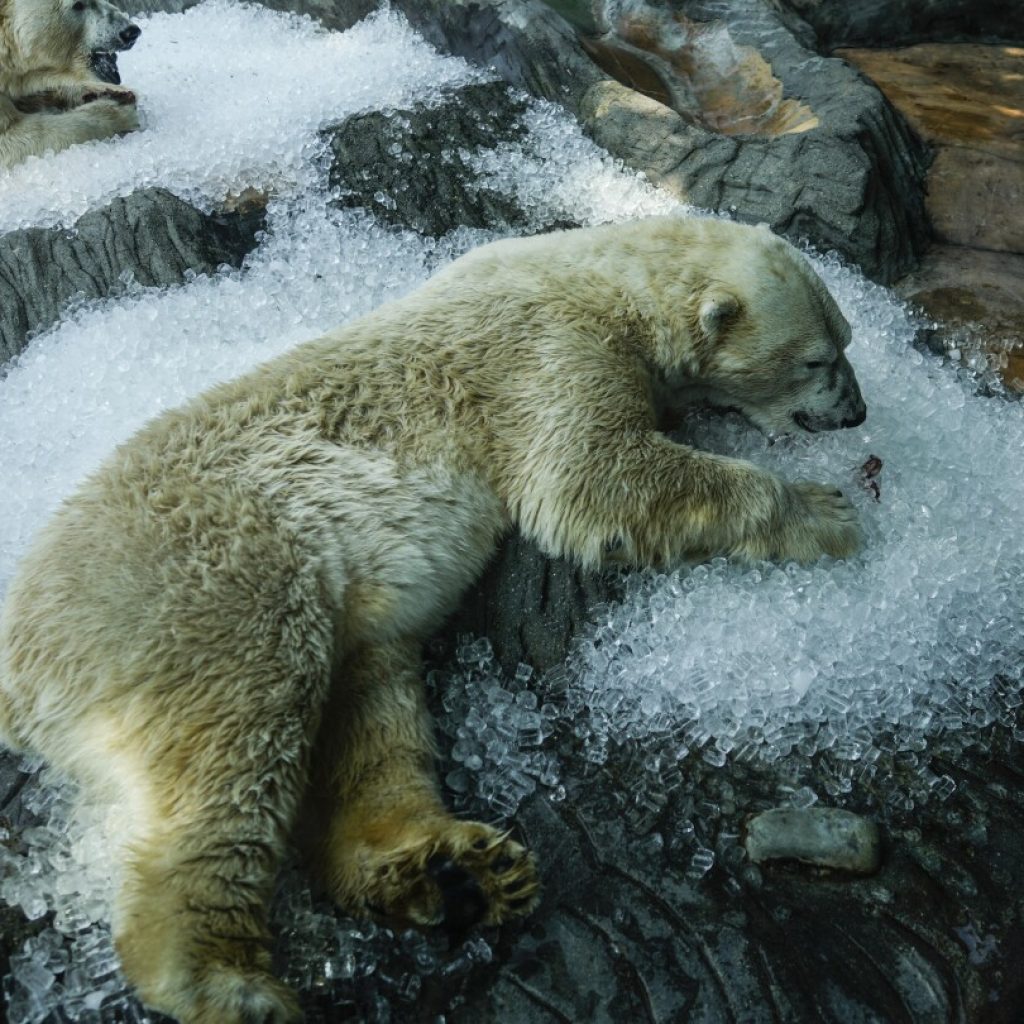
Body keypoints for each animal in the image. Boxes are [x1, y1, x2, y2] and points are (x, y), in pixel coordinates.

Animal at [0, 211, 864, 1019]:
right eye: (819, 359)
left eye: (847, 340)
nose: (855, 413)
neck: (597, 275)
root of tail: (19, 654)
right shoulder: (549, 352)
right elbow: (591, 479)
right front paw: (821, 511)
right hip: (202, 588)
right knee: (235, 742)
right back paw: (226, 981)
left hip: (323, 620)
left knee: (373, 715)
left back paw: (451, 869)